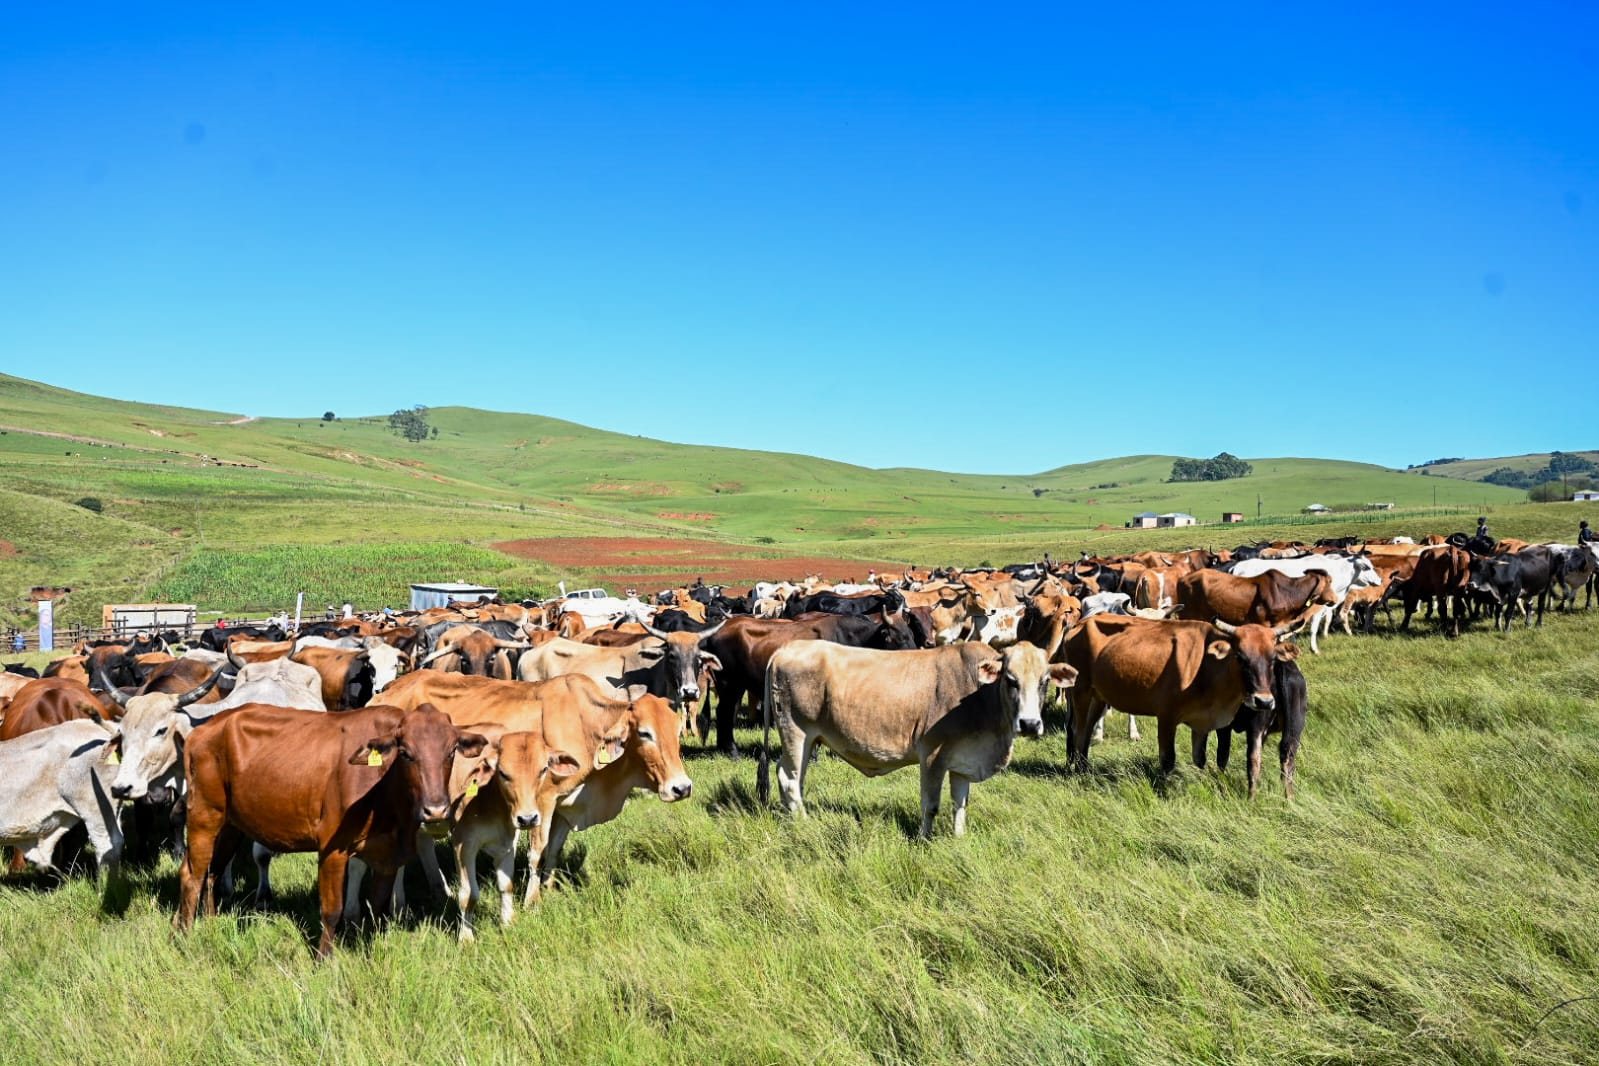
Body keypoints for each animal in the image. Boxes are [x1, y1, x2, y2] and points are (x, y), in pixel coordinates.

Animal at [177, 702, 490, 958]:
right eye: (405, 753)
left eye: (451, 751)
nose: (435, 810)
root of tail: (204, 728)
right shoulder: (332, 849)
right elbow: (332, 910)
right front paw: (324, 960)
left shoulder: (388, 856)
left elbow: (377, 907)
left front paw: (368, 950)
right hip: (204, 815)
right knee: (192, 874)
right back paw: (185, 935)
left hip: (231, 824)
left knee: (213, 872)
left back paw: (211, 923)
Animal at [757, 641, 1074, 837]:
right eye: (1010, 680)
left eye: (1045, 681)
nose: (1030, 724)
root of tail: (786, 648)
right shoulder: (933, 755)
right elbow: (931, 805)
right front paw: (924, 839)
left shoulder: (962, 762)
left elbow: (960, 804)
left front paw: (960, 838)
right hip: (796, 732)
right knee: (788, 777)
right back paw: (803, 821)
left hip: (808, 740)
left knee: (794, 778)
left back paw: (791, 816)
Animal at [1062, 615, 1300, 792]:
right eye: (1240, 657)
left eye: (1272, 659)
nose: (1264, 701)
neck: (1206, 665)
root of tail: (1081, 622)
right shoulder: (1166, 716)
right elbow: (1168, 759)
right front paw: (1164, 788)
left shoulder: (1202, 722)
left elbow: (1200, 758)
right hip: (1080, 690)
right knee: (1078, 730)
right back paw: (1079, 772)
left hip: (1098, 696)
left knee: (1086, 731)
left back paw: (1084, 768)